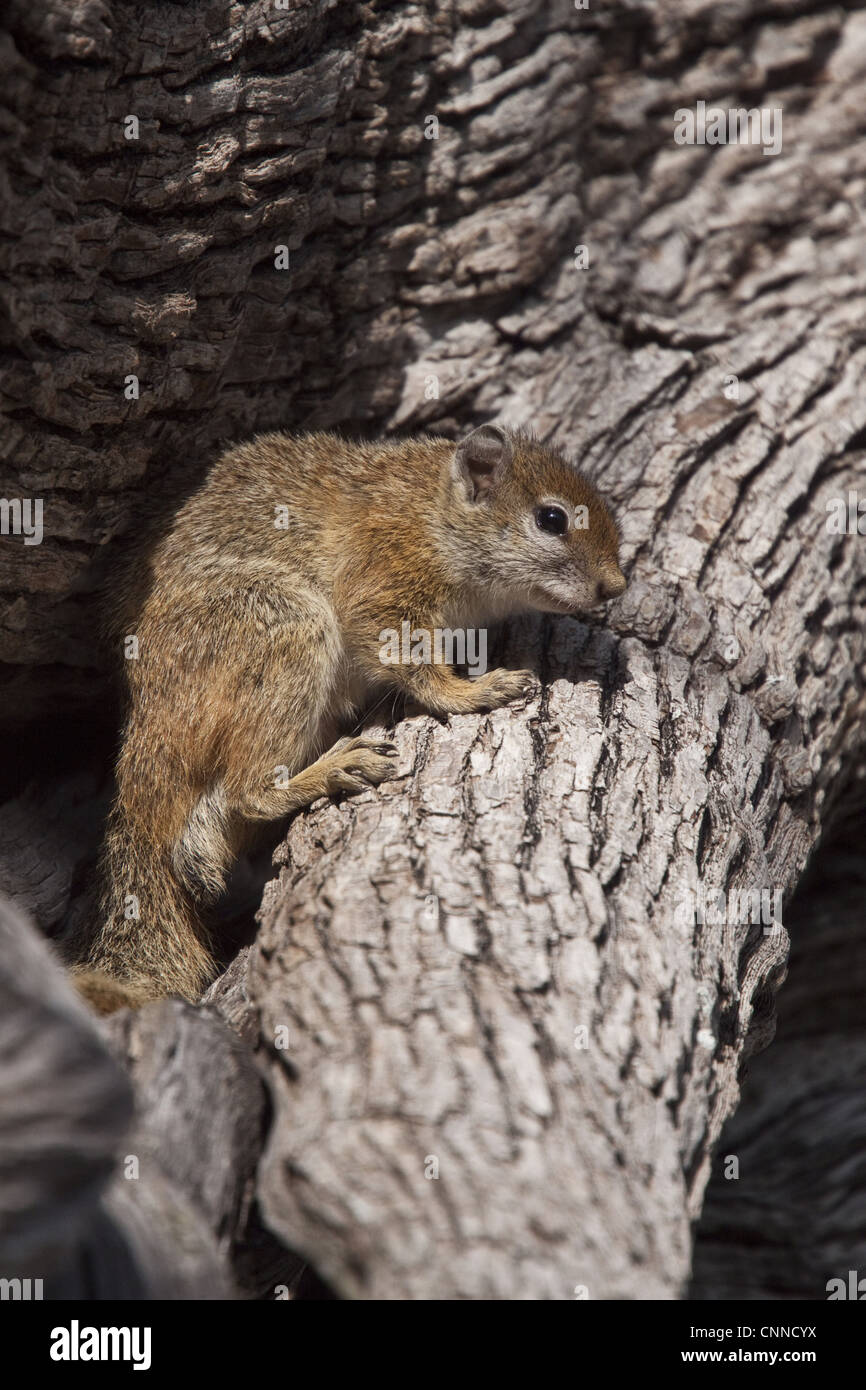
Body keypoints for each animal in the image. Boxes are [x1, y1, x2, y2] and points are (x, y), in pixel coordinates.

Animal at [66, 419, 622, 1011]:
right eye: (552, 519)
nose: (615, 587)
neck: (433, 511)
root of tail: (145, 748)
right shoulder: (385, 572)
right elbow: (407, 656)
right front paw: (469, 691)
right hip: (282, 628)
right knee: (247, 791)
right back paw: (332, 769)